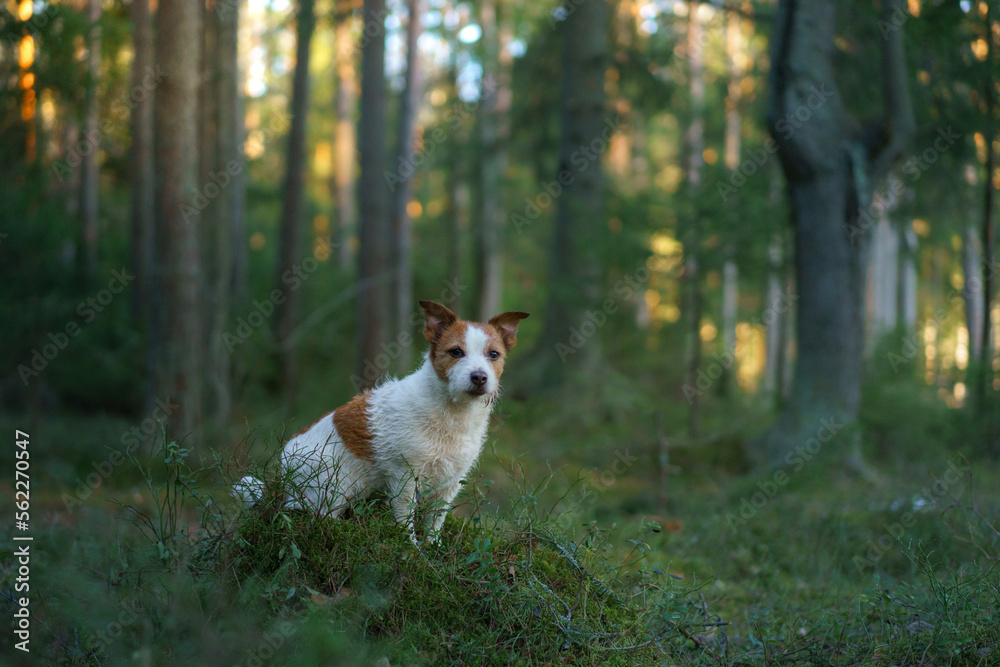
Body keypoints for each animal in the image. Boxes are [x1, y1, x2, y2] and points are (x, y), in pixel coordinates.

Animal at [235, 300, 532, 544]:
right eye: (456, 352)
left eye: (493, 355)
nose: (479, 377)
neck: (451, 412)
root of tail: (280, 476)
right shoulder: (405, 478)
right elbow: (405, 520)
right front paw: (411, 552)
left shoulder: (449, 482)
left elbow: (435, 522)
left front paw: (433, 549)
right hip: (331, 487)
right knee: (315, 517)